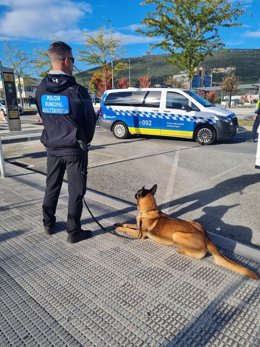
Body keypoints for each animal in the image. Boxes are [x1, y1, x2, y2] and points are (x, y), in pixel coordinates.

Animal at [115, 185, 258, 280]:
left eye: (138, 192)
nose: (134, 194)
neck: (148, 210)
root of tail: (206, 238)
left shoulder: (140, 235)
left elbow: (128, 229)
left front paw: (119, 229)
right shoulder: (137, 227)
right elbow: (128, 224)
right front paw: (119, 224)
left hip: (177, 235)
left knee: (199, 255)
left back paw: (182, 250)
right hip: (194, 222)